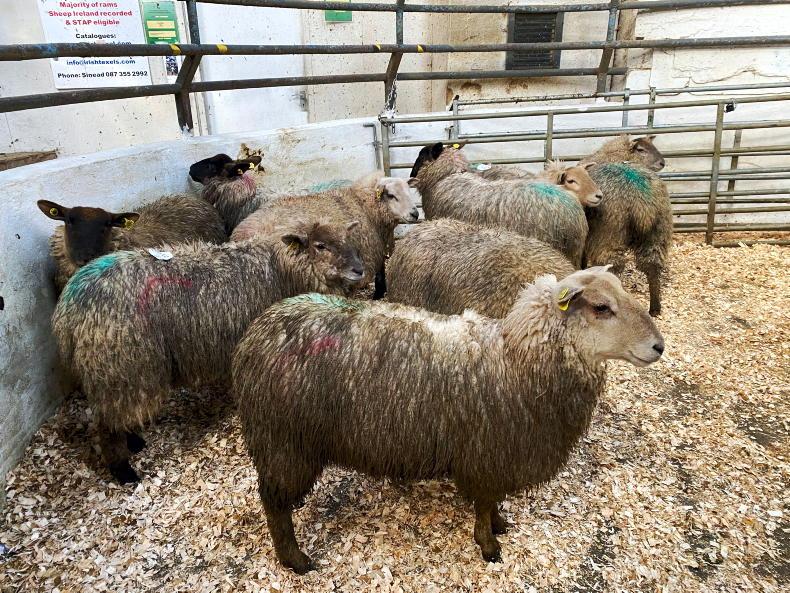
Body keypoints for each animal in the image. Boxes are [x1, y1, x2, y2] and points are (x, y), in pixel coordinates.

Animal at [52, 220, 365, 484]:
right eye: (320, 245)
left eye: (348, 239)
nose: (359, 269)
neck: (280, 268)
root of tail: (66, 314)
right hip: (123, 365)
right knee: (107, 424)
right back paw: (124, 471)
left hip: (116, 371)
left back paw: (133, 442)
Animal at [233, 267, 665, 573]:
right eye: (601, 307)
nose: (659, 346)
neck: (516, 361)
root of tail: (256, 331)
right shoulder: (486, 455)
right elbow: (484, 504)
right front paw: (489, 545)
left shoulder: (496, 457)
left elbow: (494, 502)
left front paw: (500, 524)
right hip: (284, 441)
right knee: (273, 503)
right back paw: (295, 560)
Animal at [579, 135, 672, 316]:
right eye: (641, 149)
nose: (662, 163)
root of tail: (639, 196)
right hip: (657, 232)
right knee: (652, 265)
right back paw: (655, 308)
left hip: (609, 233)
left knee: (614, 264)